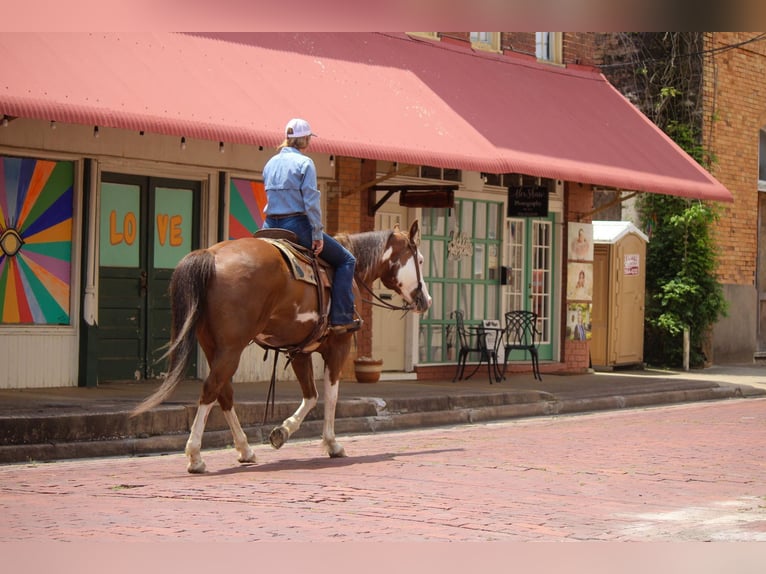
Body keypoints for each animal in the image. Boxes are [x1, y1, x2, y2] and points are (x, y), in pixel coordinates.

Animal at [131, 220, 432, 472]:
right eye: (419, 259)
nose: (426, 300)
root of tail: (211, 255)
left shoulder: (298, 349)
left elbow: (310, 396)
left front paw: (282, 432)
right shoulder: (339, 344)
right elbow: (330, 395)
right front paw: (332, 443)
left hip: (212, 345)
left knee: (223, 393)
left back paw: (245, 450)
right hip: (231, 348)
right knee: (211, 390)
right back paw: (195, 456)